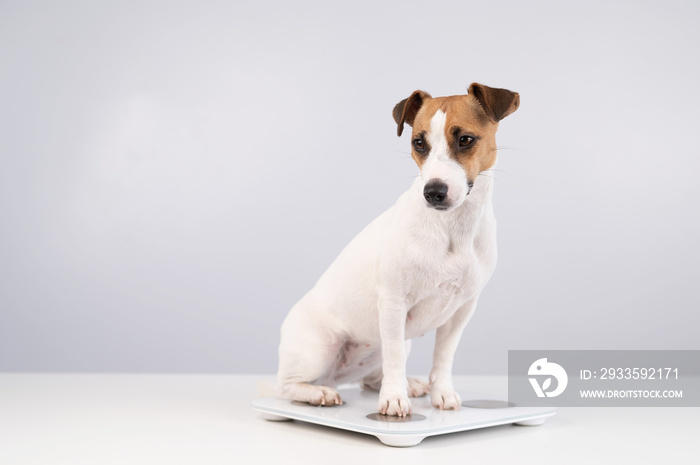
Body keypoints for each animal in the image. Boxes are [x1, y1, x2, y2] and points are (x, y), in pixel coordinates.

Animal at [276, 81, 516, 416]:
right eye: (419, 143)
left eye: (466, 140)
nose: (433, 191)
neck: (452, 228)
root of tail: (335, 376)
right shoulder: (393, 304)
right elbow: (394, 359)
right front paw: (393, 399)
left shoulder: (461, 310)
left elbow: (443, 357)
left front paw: (441, 393)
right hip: (319, 348)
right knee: (285, 386)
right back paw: (318, 393)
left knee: (369, 378)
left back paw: (407, 384)